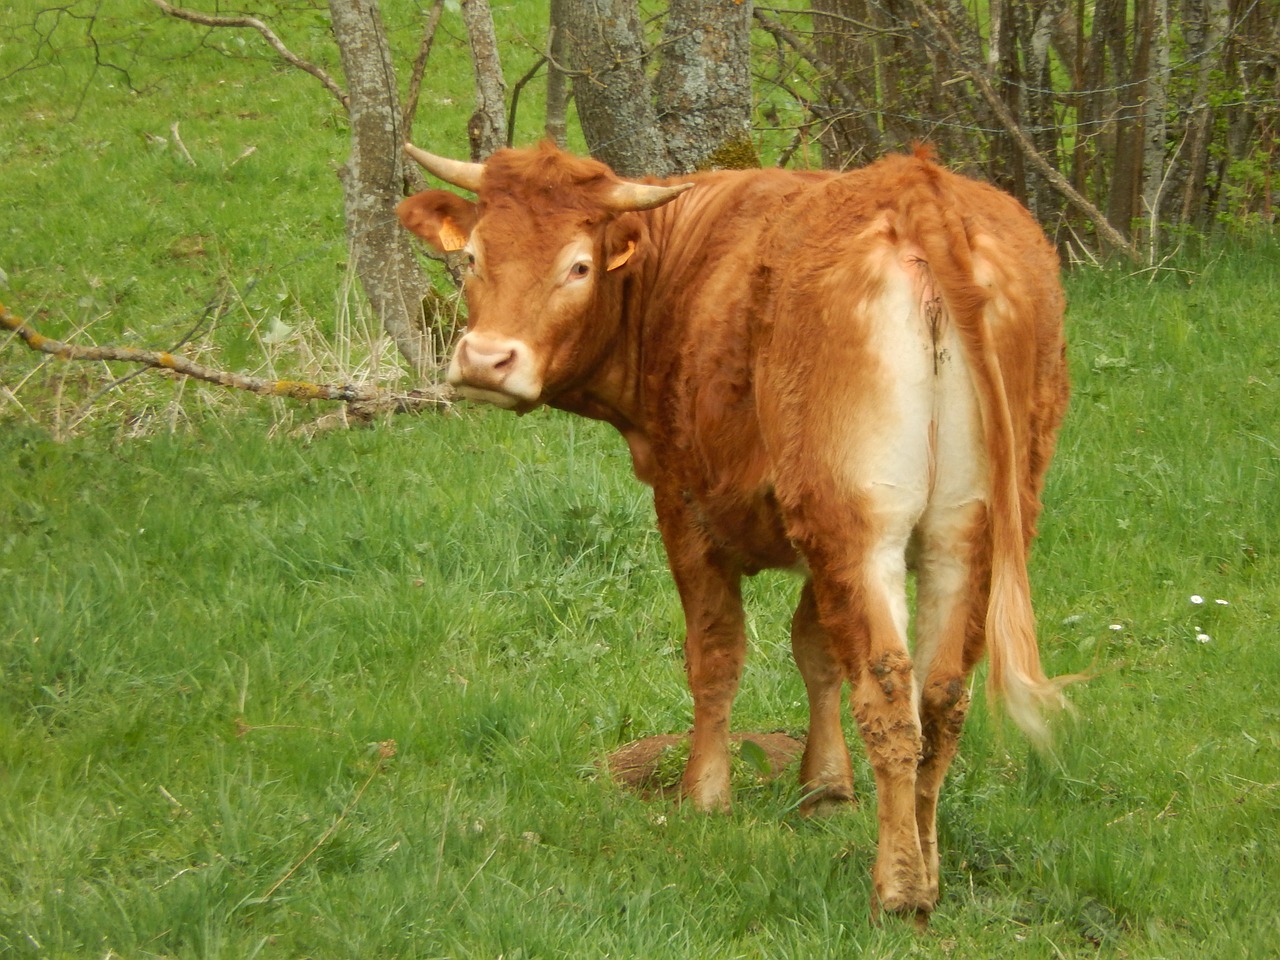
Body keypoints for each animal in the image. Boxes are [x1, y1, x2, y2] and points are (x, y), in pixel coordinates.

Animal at [396, 142, 1070, 926]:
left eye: (579, 266)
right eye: (473, 256)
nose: (485, 360)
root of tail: (918, 186)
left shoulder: (687, 503)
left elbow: (716, 655)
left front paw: (705, 793)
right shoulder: (809, 535)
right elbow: (816, 651)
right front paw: (824, 788)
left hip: (860, 525)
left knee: (888, 691)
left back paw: (898, 889)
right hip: (965, 531)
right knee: (940, 696)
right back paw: (927, 871)